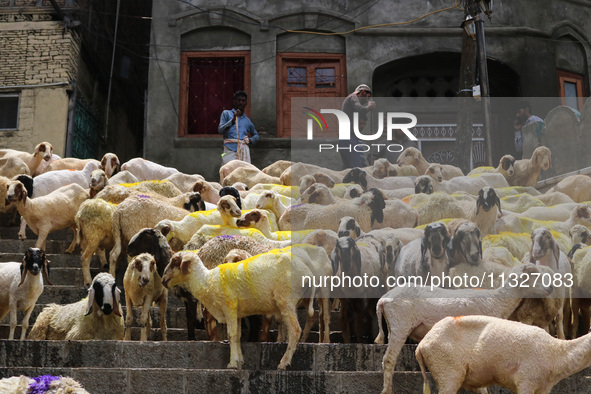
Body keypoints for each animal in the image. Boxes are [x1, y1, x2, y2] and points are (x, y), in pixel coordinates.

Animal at [162, 249, 310, 370]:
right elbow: (238, 336)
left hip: (286, 299)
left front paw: (232, 363)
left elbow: (231, 335)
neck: (206, 281)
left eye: (175, 261)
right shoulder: (237, 313)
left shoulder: (229, 307)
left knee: (295, 330)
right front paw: (239, 361)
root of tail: (306, 271)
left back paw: (284, 363)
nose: (163, 280)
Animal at [374, 264, 556, 394]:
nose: (550, 288)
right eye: (534, 274)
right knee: (389, 359)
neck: (497, 301)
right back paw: (387, 391)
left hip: (393, 325)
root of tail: (383, 299)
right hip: (400, 323)